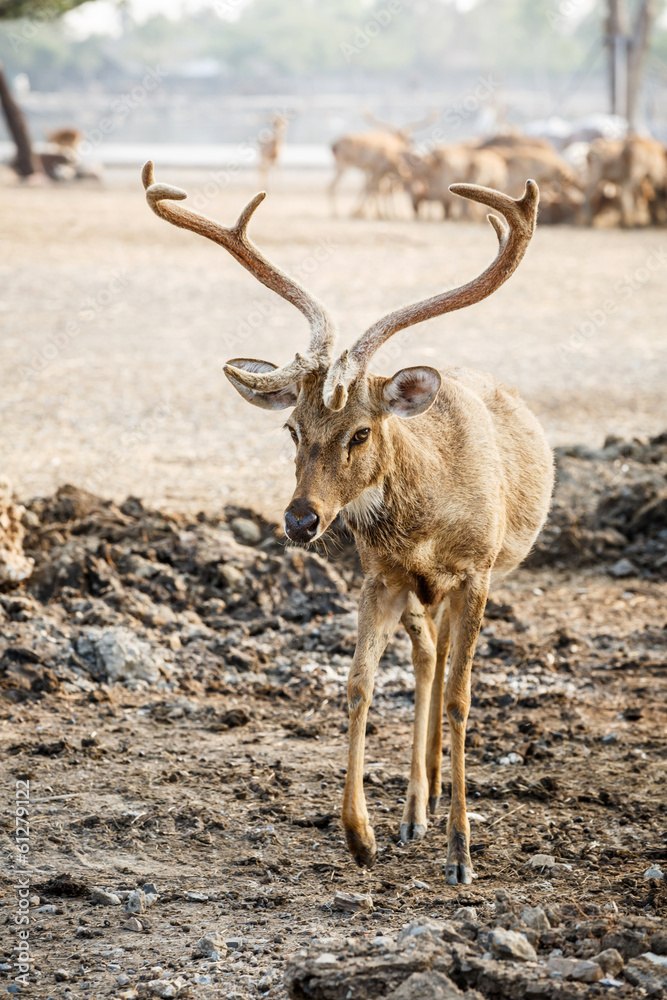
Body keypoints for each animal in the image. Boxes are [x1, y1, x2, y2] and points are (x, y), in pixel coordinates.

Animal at [142, 161, 554, 885]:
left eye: (360, 431)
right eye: (290, 428)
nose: (300, 519)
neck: (427, 524)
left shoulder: (476, 572)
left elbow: (460, 698)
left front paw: (461, 853)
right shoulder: (380, 575)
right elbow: (359, 683)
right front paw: (361, 834)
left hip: (473, 581)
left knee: (443, 666)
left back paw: (438, 806)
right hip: (415, 592)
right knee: (426, 654)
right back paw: (417, 806)